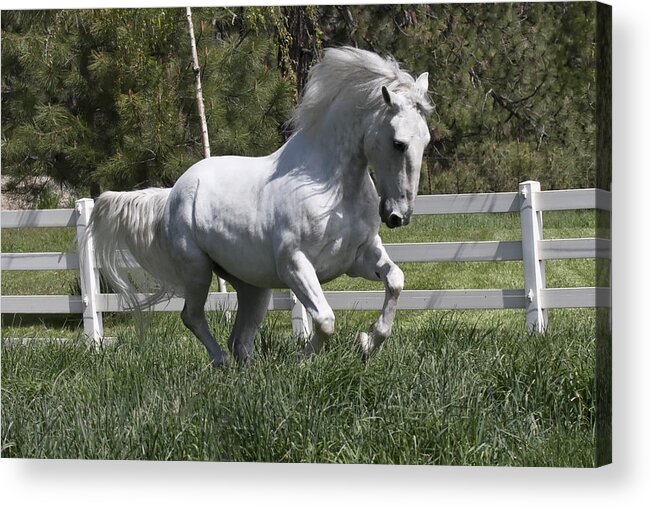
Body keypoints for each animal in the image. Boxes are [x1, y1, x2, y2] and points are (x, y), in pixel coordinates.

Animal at [88, 47, 432, 366]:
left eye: (426, 140)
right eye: (398, 143)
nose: (398, 215)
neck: (330, 188)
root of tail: (172, 194)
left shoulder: (358, 257)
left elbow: (396, 281)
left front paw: (367, 344)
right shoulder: (295, 265)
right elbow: (325, 320)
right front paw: (303, 361)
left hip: (253, 286)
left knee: (240, 339)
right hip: (197, 271)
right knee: (193, 318)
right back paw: (222, 364)